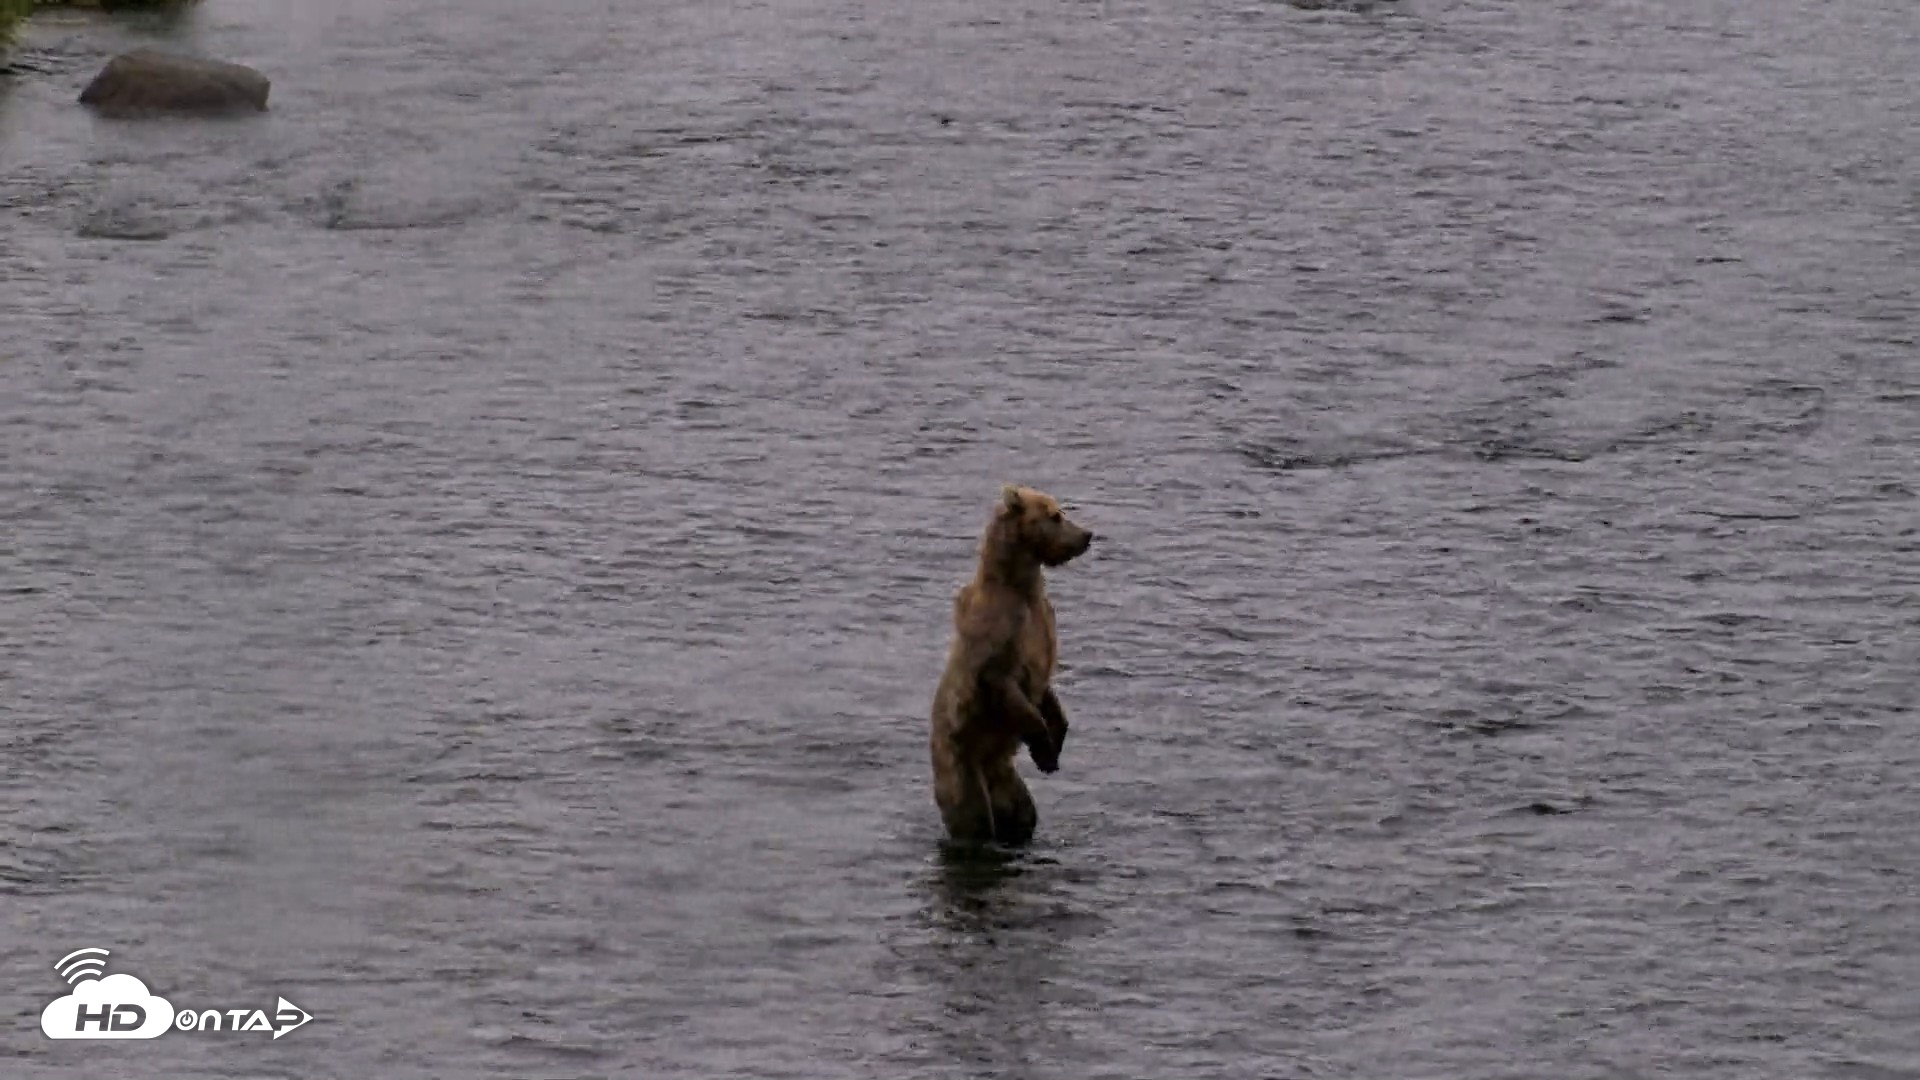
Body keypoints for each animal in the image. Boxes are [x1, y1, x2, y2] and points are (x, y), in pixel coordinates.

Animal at [929, 484, 1095, 845]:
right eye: (1055, 515)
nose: (1087, 535)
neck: (1022, 588)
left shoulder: (1042, 621)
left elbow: (1046, 690)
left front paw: (1051, 751)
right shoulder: (999, 633)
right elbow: (1006, 685)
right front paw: (1044, 746)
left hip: (1007, 781)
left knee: (1024, 814)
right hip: (960, 762)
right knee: (973, 817)